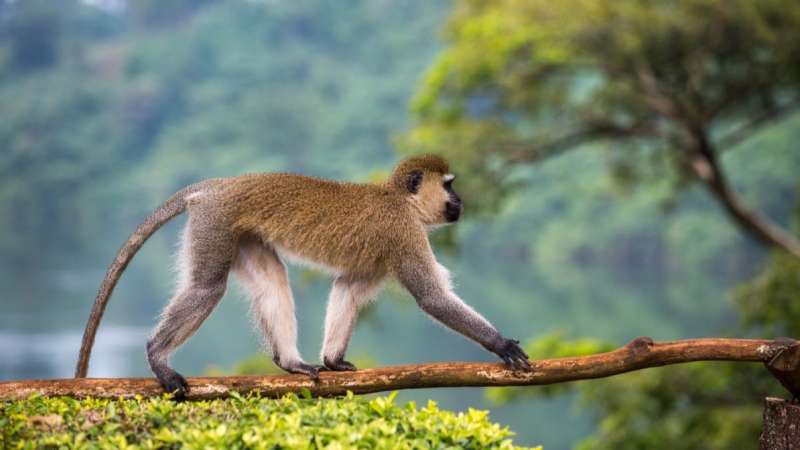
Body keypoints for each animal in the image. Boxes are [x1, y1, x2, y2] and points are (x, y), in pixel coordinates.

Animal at [75, 155, 531, 396]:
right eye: (450, 186)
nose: (461, 200)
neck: (400, 201)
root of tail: (219, 185)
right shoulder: (403, 233)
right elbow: (431, 297)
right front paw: (500, 343)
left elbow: (347, 287)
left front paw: (332, 360)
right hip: (214, 223)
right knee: (207, 288)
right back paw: (156, 354)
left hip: (240, 233)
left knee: (272, 279)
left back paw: (290, 362)